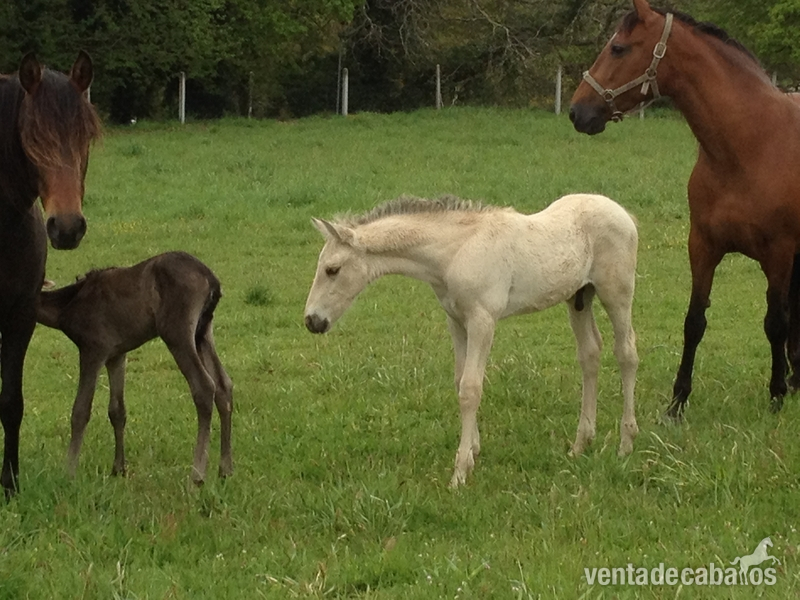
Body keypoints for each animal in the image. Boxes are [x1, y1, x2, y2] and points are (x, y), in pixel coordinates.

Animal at [36, 252, 233, 483]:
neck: (68, 305)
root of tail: (211, 280)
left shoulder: (93, 349)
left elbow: (80, 411)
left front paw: (69, 472)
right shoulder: (117, 355)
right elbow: (117, 410)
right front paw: (118, 468)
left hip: (177, 332)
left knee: (204, 386)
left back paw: (197, 477)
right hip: (203, 331)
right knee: (223, 384)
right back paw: (225, 469)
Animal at [304, 194, 639, 487]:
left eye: (332, 270)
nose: (312, 321)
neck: (456, 252)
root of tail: (623, 212)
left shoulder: (482, 321)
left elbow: (470, 388)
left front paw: (460, 472)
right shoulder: (456, 321)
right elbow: (459, 380)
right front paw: (474, 450)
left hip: (616, 294)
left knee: (626, 353)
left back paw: (626, 444)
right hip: (578, 298)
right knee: (590, 354)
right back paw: (580, 444)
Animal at [569, 0, 800, 418]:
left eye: (618, 48)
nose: (577, 112)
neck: (751, 145)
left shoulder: (778, 252)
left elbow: (775, 321)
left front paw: (775, 395)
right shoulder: (702, 246)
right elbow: (694, 321)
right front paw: (677, 402)